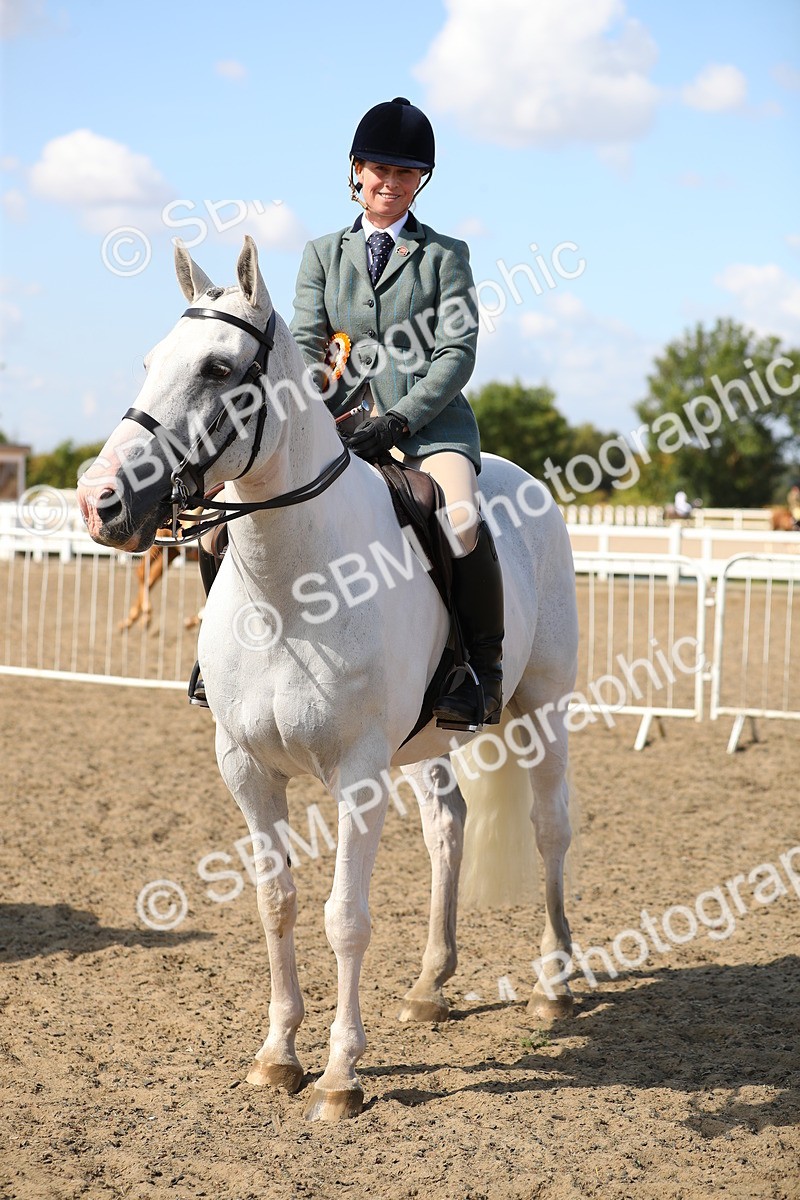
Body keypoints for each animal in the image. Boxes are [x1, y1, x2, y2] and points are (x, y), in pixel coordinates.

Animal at [77, 236, 579, 1122]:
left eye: (217, 367)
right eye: (149, 361)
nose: (101, 502)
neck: (290, 589)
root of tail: (517, 478)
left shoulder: (357, 775)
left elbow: (345, 915)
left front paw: (343, 1074)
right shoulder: (245, 769)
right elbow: (275, 901)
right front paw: (278, 1054)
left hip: (541, 708)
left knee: (550, 828)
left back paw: (553, 988)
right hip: (428, 743)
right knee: (447, 826)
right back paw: (429, 986)